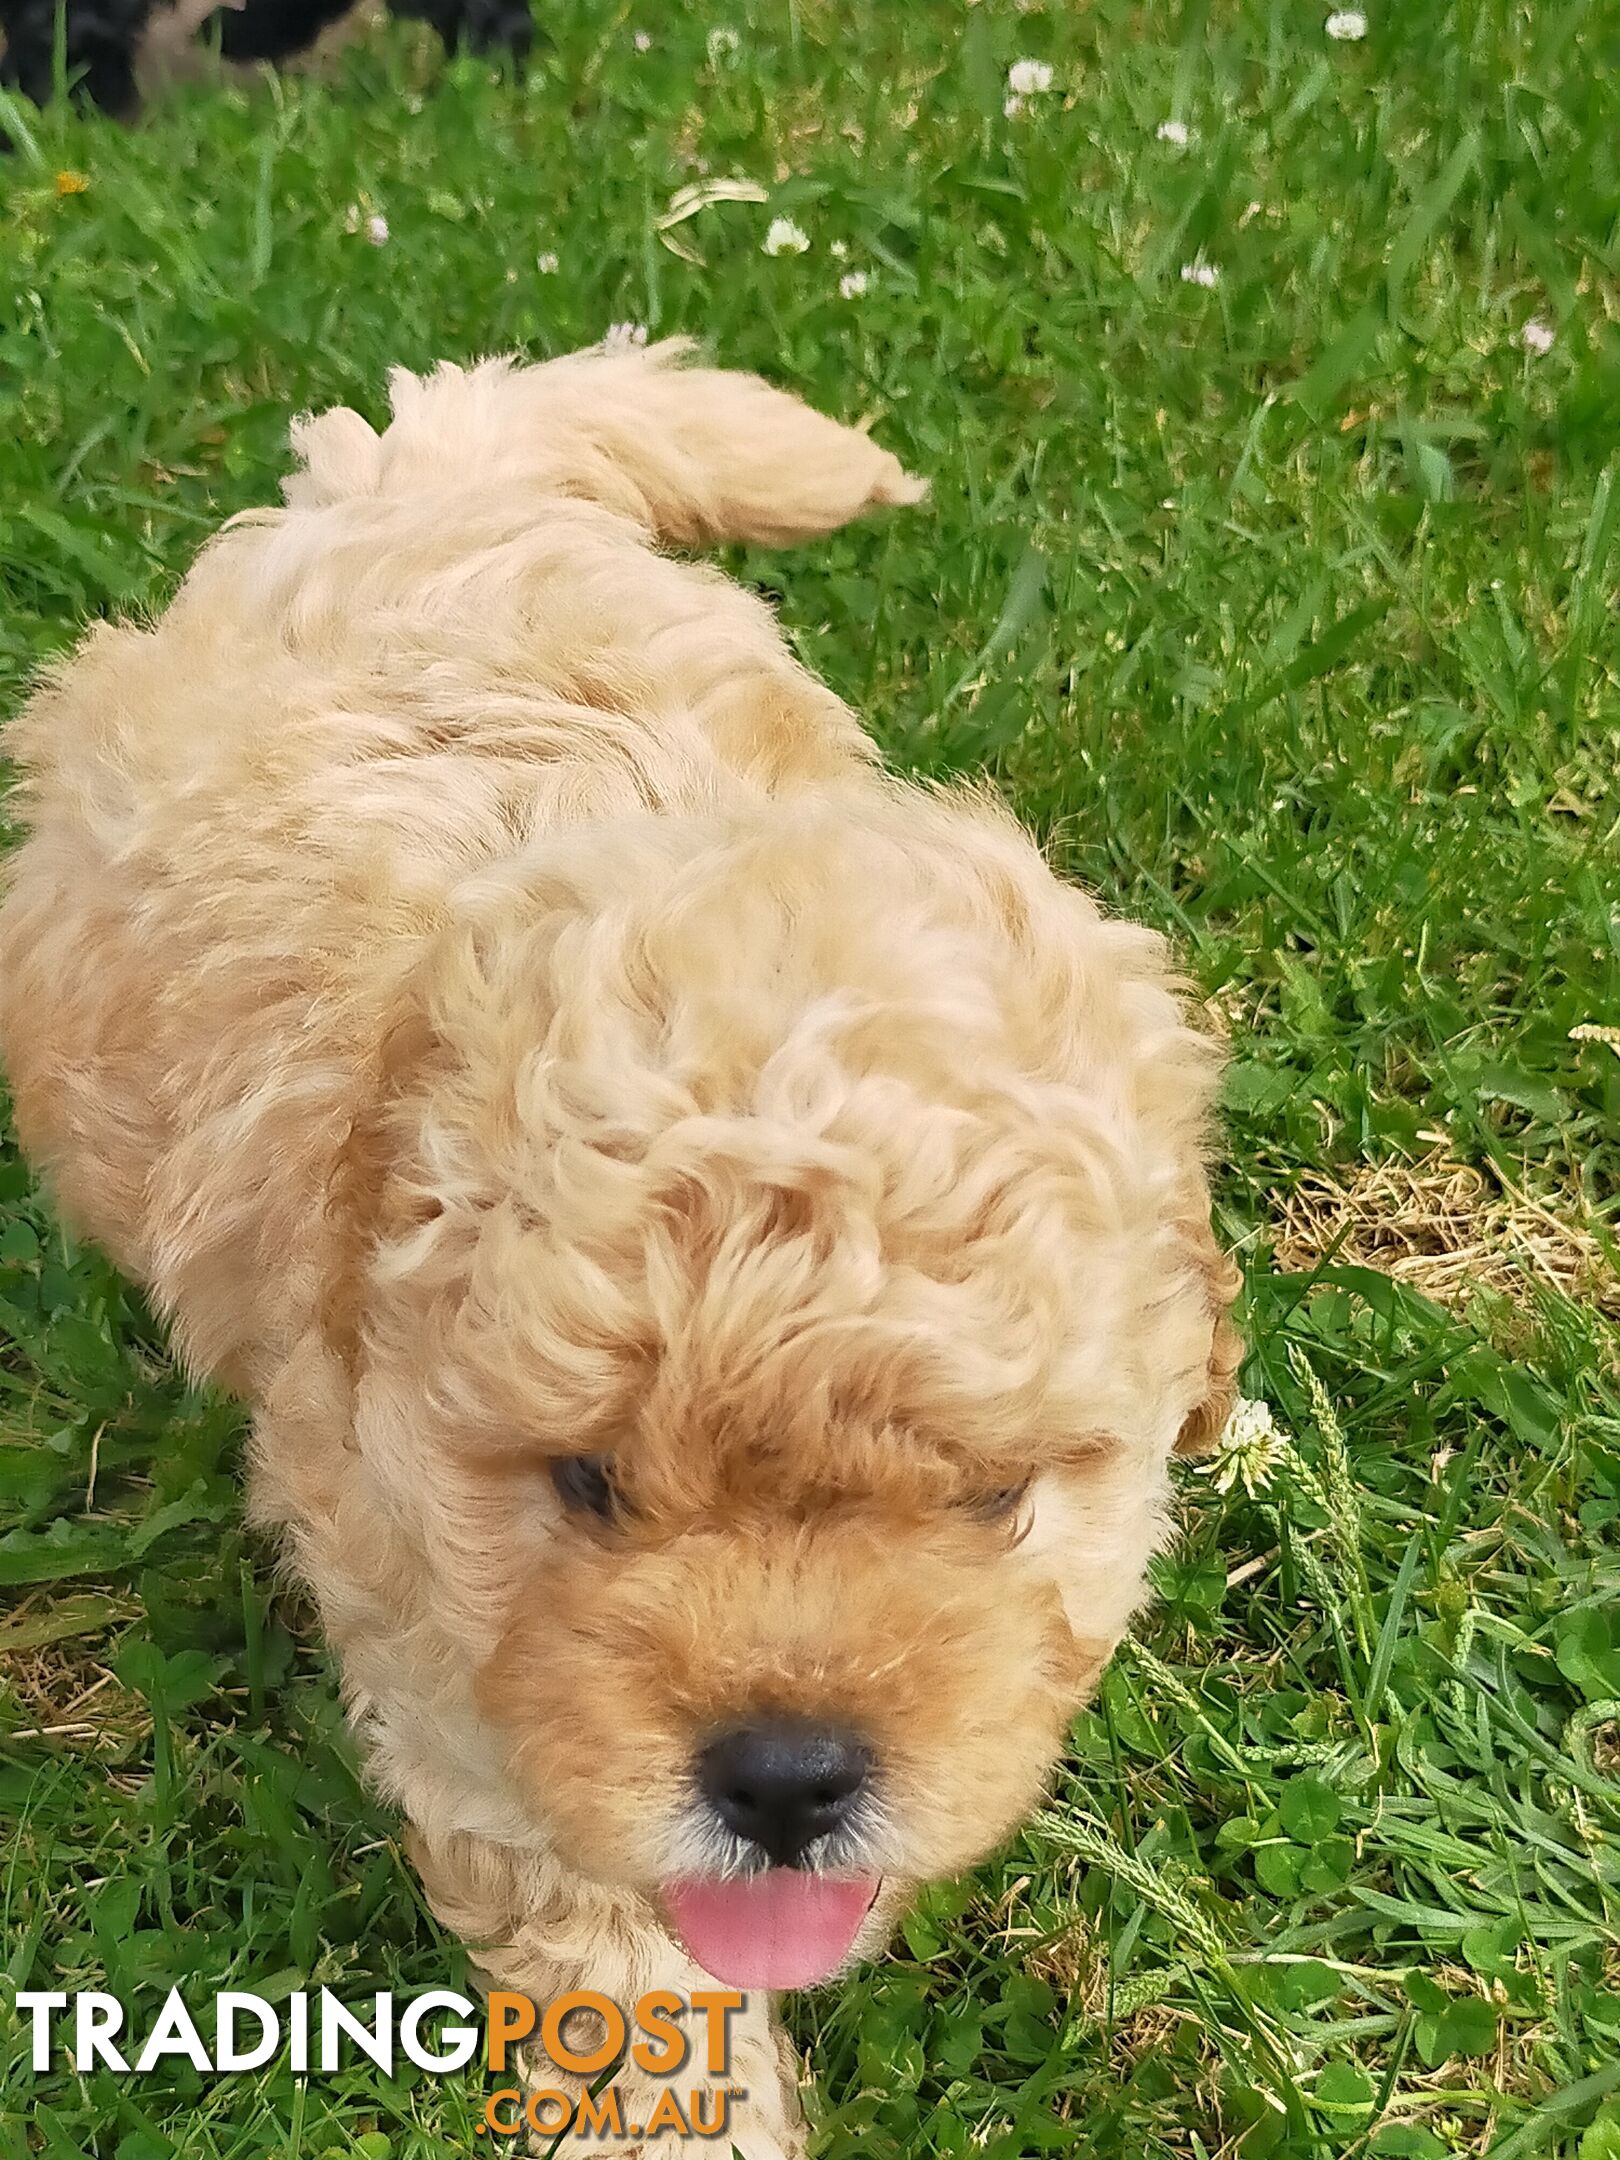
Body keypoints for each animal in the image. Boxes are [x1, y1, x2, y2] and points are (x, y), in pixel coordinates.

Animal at [0, 345, 1244, 2151]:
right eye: (585, 1486)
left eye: (998, 1499)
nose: (788, 1777)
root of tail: (401, 480)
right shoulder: (453, 1671)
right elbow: (609, 1953)